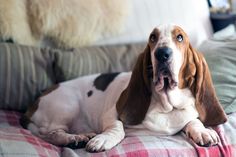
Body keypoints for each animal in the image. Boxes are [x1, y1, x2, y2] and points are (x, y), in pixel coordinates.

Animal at [20, 24, 227, 152]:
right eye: (153, 37)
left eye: (180, 37)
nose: (162, 53)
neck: (166, 105)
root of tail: (32, 105)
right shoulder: (111, 113)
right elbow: (117, 127)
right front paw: (103, 139)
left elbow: (193, 121)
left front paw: (203, 132)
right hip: (68, 105)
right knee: (50, 135)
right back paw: (75, 139)